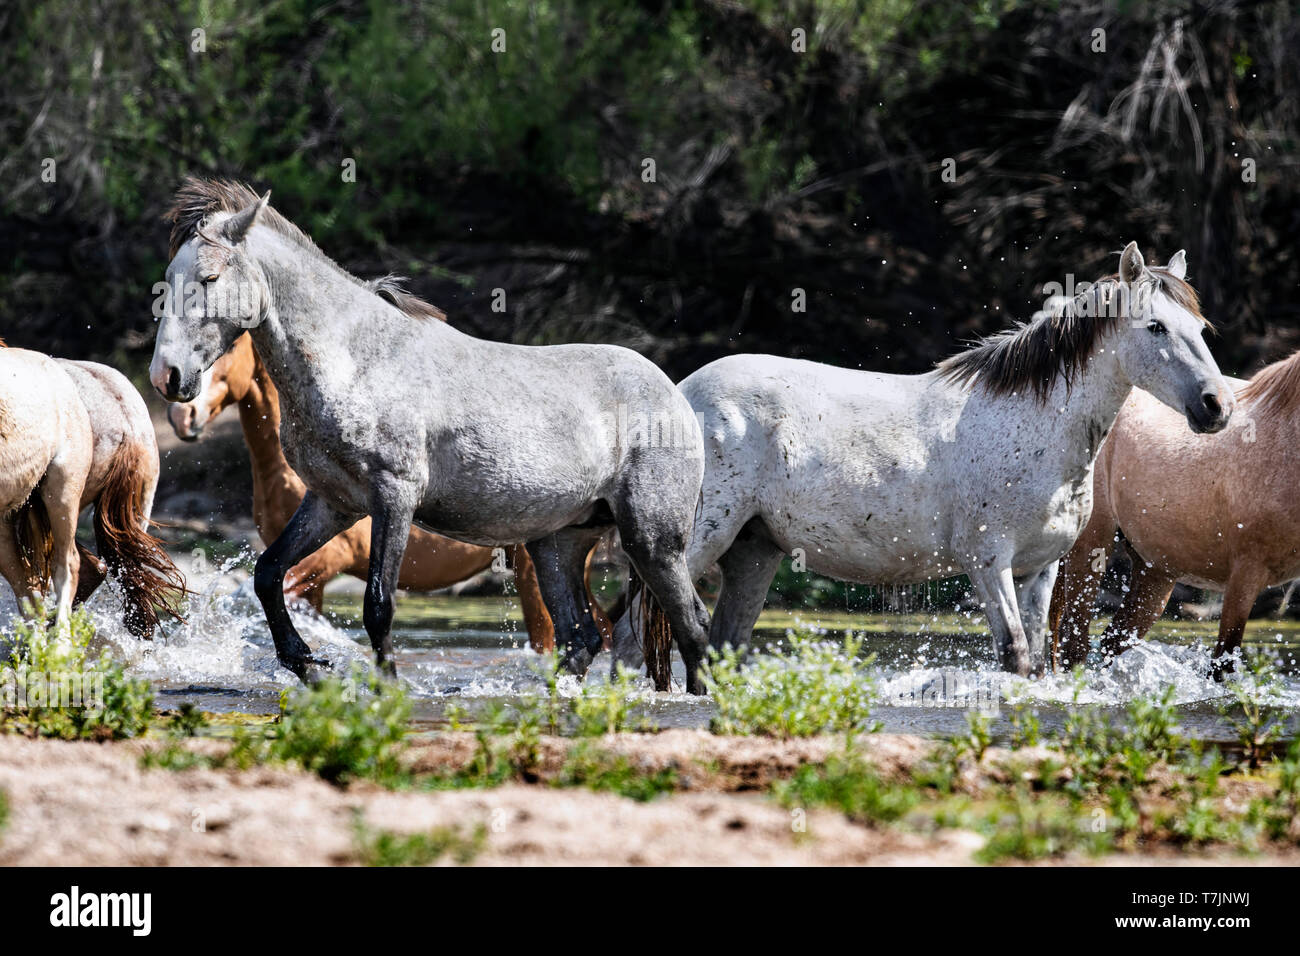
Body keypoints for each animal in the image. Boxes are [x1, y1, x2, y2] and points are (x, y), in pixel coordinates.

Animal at [613, 243, 1232, 676]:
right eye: (1154, 326)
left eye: (1200, 328)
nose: (1216, 406)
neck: (1034, 425)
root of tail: (678, 395)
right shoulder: (988, 563)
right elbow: (1015, 655)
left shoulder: (1040, 568)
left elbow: (1036, 659)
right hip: (695, 543)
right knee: (626, 640)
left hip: (754, 551)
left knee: (717, 644)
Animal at [1045, 348, 1300, 671]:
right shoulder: (1245, 574)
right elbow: (1222, 665)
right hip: (1091, 545)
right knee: (1073, 641)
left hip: (1155, 572)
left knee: (1111, 640)